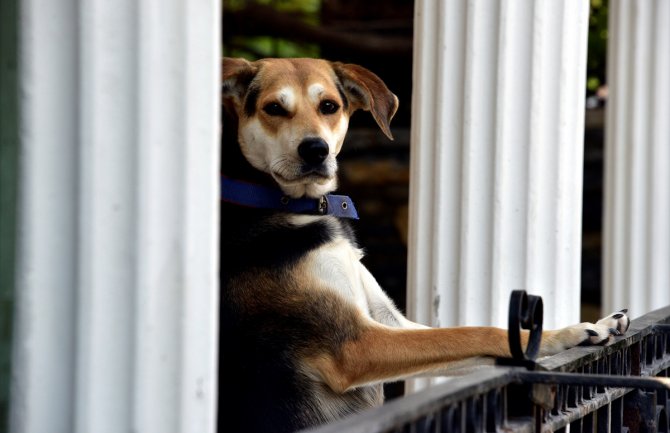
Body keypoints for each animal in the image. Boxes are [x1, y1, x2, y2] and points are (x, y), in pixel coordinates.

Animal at [219, 58, 632, 432]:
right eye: (274, 108)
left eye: (329, 106)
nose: (315, 150)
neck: (296, 205)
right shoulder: (356, 344)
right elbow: (478, 332)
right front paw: (563, 334)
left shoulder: (390, 321)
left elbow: (474, 342)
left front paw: (578, 329)